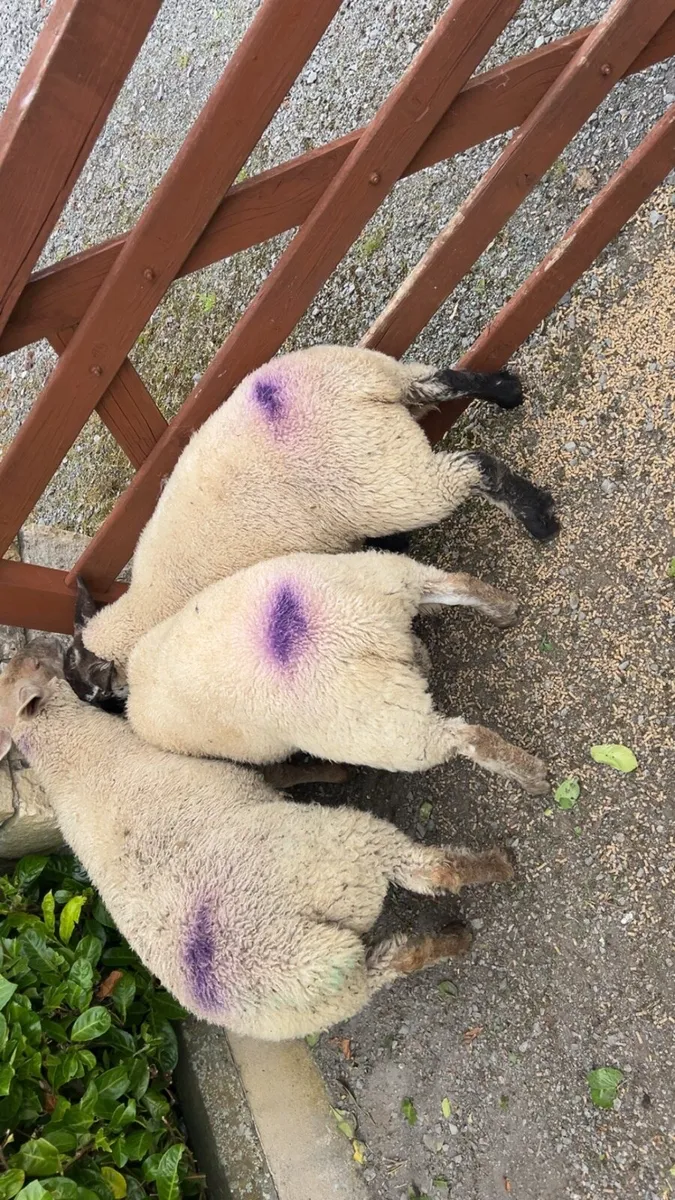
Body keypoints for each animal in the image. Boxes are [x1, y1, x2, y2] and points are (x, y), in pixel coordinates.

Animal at [0, 641, 514, 1041]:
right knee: (430, 874)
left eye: (27, 664)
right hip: (349, 851)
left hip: (338, 992)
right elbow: (284, 772)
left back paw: (448, 938)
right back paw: (489, 882)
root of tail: (311, 961)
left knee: (398, 958)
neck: (71, 755)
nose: (44, 644)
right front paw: (337, 771)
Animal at [65, 345, 558, 707]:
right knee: (443, 379)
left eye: (95, 696)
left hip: (387, 482)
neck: (149, 604)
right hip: (386, 388)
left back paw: (538, 516)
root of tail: (362, 389)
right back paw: (506, 390)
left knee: (476, 468)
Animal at [76, 550, 549, 795]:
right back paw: (504, 611)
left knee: (468, 739)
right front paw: (421, 656)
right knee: (457, 584)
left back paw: (534, 777)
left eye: (87, 693)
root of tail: (354, 631)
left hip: (379, 729)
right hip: (387, 575)